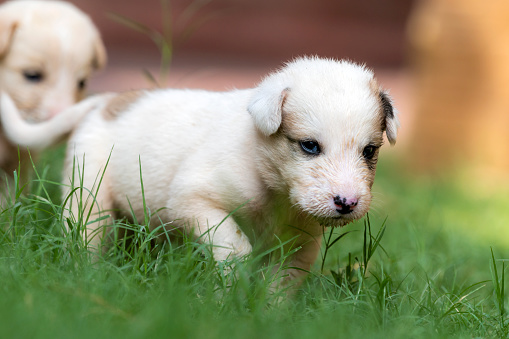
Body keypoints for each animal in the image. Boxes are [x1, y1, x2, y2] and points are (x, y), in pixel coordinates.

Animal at [0, 57, 396, 288]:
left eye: (369, 151)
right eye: (310, 146)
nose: (346, 203)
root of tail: (106, 101)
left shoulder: (299, 242)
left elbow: (281, 285)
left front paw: (268, 316)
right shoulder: (192, 201)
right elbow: (234, 245)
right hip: (88, 196)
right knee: (88, 238)